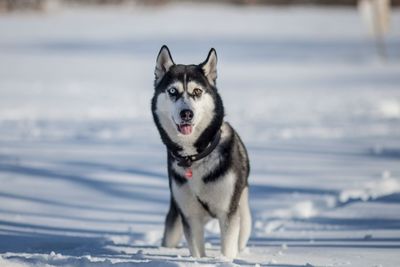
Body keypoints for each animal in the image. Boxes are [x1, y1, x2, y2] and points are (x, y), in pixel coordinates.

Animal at [152, 46, 252, 260]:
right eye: (172, 91)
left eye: (197, 91)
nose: (186, 113)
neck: (195, 158)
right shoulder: (190, 217)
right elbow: (197, 252)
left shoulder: (227, 213)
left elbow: (227, 250)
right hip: (174, 221)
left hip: (244, 214)